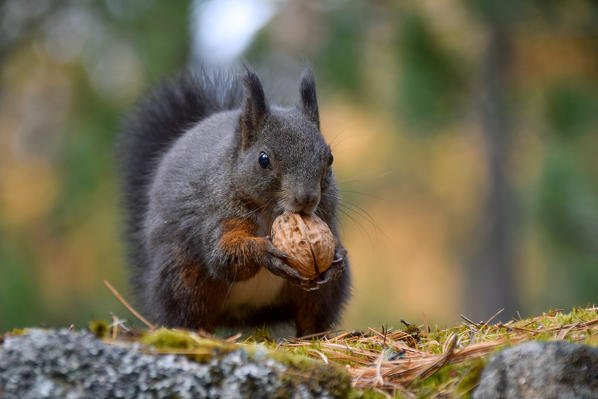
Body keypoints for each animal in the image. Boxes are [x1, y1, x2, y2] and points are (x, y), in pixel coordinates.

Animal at [117, 66, 352, 338]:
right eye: (263, 159)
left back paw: (315, 336)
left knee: (312, 317)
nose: (307, 199)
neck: (272, 213)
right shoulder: (218, 210)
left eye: (330, 158)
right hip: (182, 280)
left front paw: (337, 255)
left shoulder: (325, 214)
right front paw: (263, 252)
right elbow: (223, 255)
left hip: (323, 295)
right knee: (187, 313)